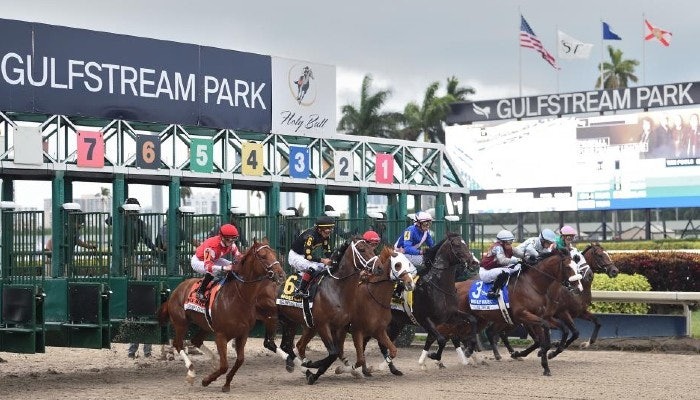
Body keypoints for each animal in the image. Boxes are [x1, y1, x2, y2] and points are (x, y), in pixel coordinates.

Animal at [159, 239, 284, 392]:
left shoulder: (242, 334)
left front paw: (226, 383)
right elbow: (224, 366)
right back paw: (191, 372)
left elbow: (240, 360)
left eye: (274, 253)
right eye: (263, 256)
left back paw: (213, 361)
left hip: (205, 326)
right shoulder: (221, 335)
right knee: (178, 344)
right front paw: (206, 380)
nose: (281, 275)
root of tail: (175, 291)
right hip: (180, 323)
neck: (239, 297)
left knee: (196, 340)